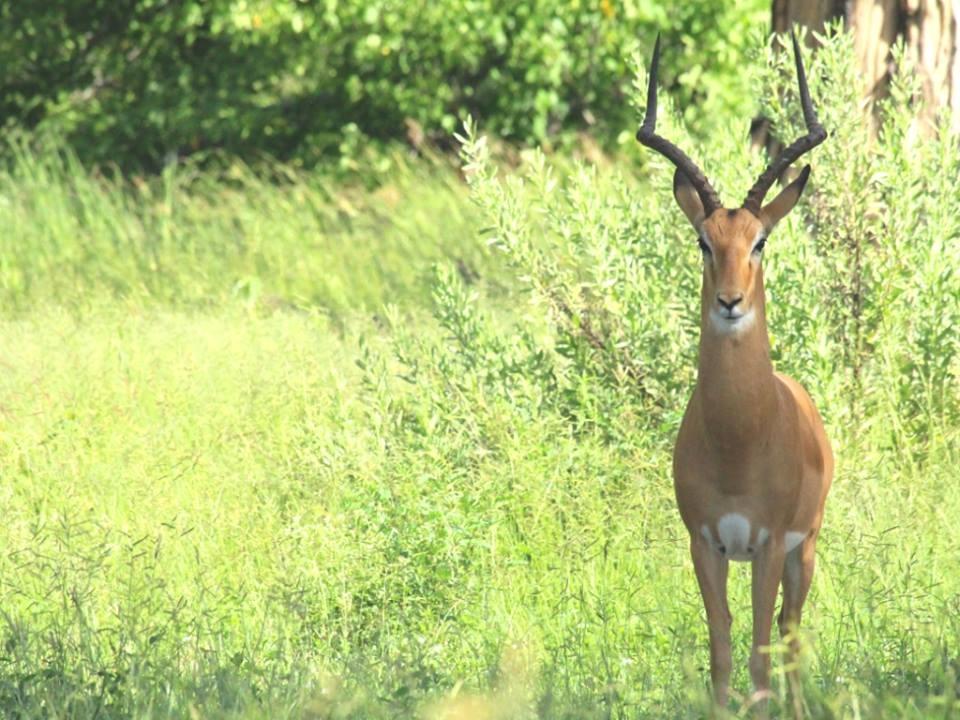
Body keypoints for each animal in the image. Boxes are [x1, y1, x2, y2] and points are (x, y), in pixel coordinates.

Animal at [636, 32, 833, 716]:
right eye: (704, 240)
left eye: (760, 242)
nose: (729, 301)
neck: (739, 438)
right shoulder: (705, 543)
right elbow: (721, 651)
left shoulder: (771, 541)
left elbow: (761, 655)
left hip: (806, 549)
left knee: (791, 632)